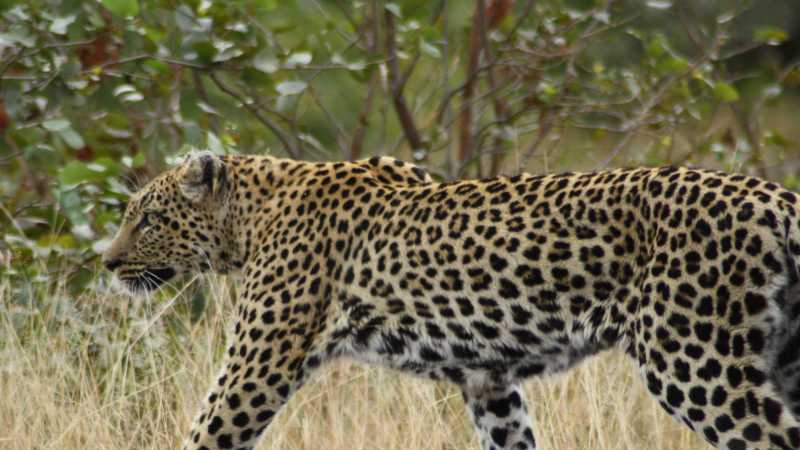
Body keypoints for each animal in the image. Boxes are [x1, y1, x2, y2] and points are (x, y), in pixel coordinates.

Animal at [103, 151, 800, 450]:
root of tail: (775, 196)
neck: (250, 214)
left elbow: (204, 433)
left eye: (148, 219)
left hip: (700, 365)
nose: (107, 263)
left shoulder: (257, 366)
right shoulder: (488, 379)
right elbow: (512, 438)